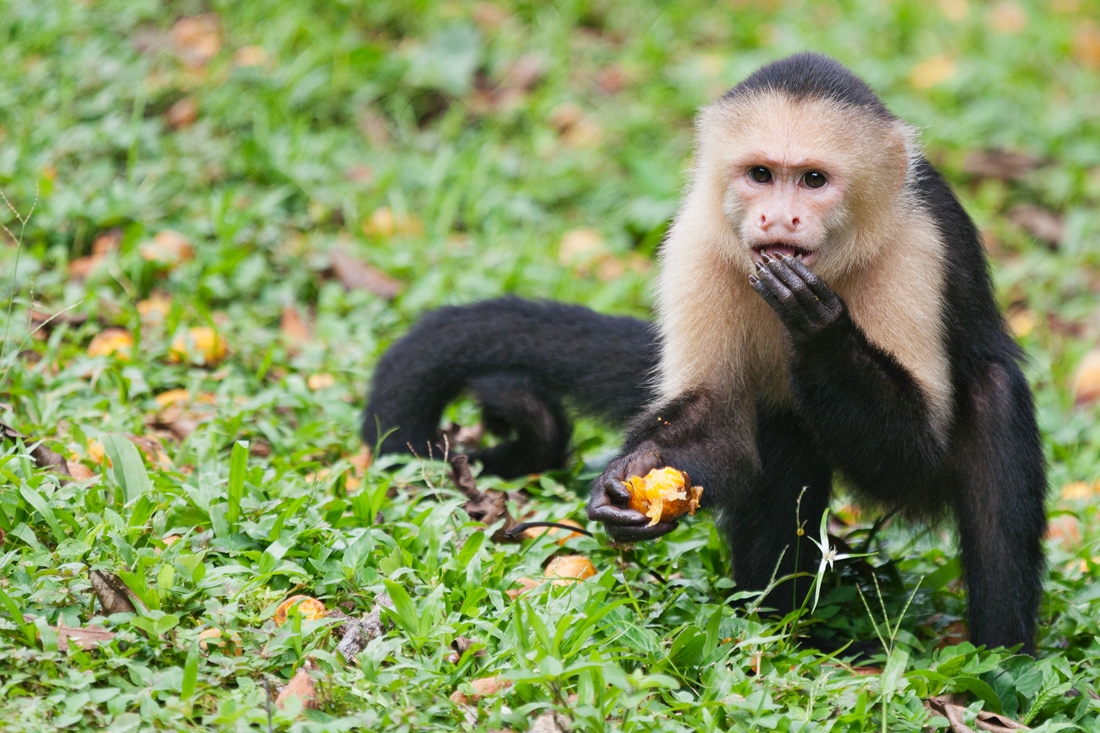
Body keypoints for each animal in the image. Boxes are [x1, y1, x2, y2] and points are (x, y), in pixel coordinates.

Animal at [363, 53, 1047, 653]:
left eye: (814, 180)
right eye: (762, 175)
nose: (779, 217)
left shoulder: (916, 247)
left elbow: (914, 447)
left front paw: (820, 330)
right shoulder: (696, 237)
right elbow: (716, 418)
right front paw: (636, 476)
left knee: (990, 399)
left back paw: (999, 659)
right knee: (779, 425)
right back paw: (780, 626)